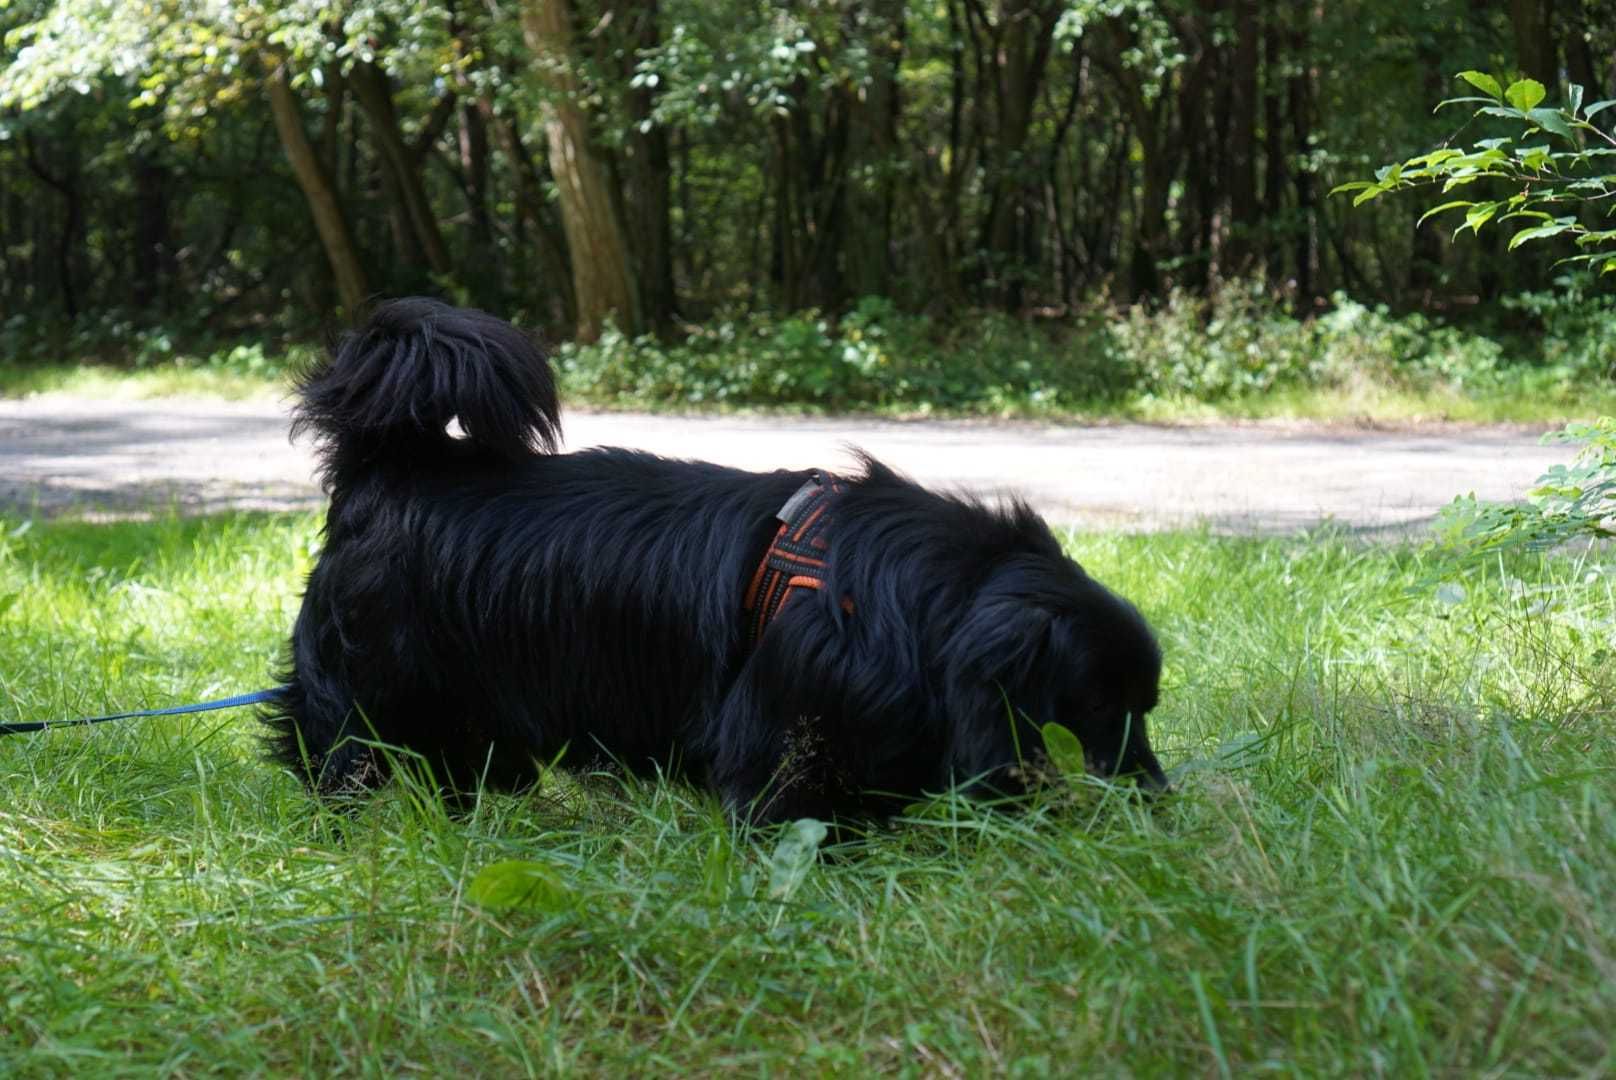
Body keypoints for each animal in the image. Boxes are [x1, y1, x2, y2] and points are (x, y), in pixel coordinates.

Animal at [268, 299, 1176, 821]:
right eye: (1101, 702)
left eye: (1149, 705)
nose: (1158, 800)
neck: (922, 597)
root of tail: (388, 468)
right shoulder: (784, 738)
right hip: (370, 686)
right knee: (340, 750)